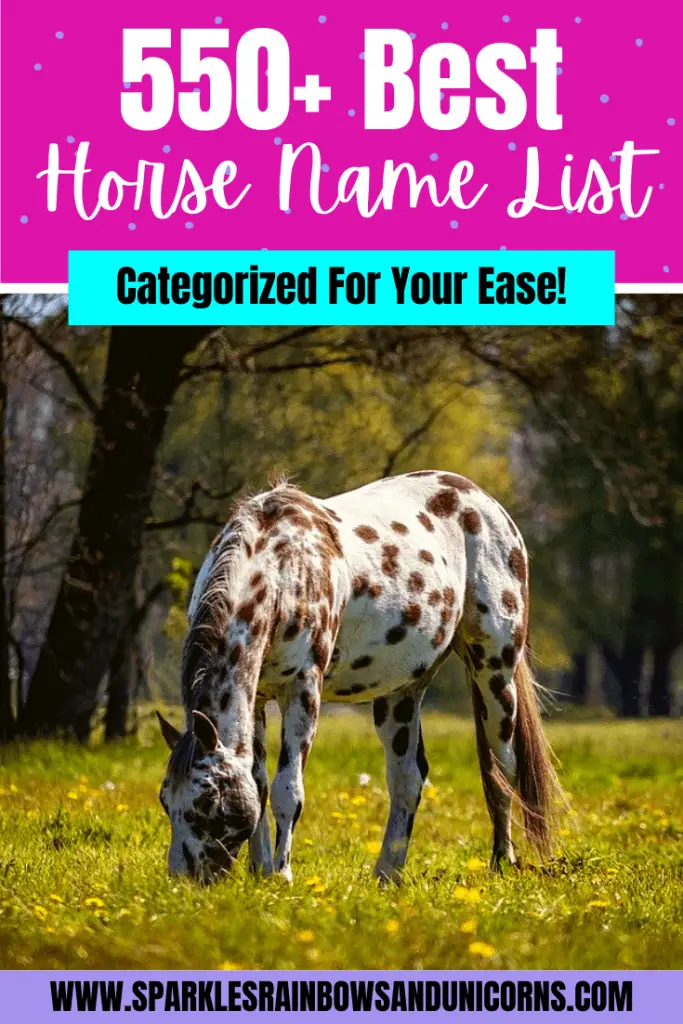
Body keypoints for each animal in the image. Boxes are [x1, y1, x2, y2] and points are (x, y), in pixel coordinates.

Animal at [156, 471, 563, 884]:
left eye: (206, 801)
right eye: (165, 800)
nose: (183, 880)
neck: (282, 568)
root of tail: (484, 501)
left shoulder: (303, 690)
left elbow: (288, 791)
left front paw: (282, 876)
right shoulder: (256, 698)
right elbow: (259, 784)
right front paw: (261, 872)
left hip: (494, 674)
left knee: (502, 769)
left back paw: (502, 861)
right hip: (402, 693)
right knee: (407, 779)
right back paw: (387, 873)